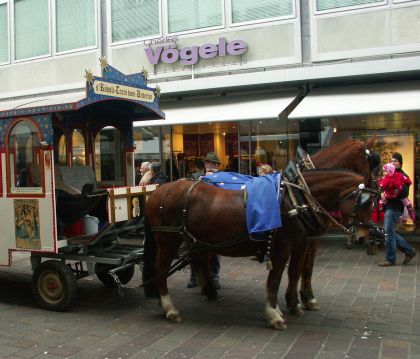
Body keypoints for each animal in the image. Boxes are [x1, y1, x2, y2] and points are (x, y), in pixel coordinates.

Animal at [146, 167, 372, 330]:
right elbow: (275, 279)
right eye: (364, 202)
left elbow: (296, 272)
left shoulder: (300, 243)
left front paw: (295, 304)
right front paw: (274, 314)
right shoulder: (282, 247)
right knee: (161, 270)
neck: (296, 200)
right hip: (169, 240)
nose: (363, 237)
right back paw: (170, 308)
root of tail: (158, 191)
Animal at [288, 137, 378, 316]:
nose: (376, 188)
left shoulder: (312, 238)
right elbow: (301, 267)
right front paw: (304, 298)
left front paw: (308, 298)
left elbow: (307, 267)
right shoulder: (307, 239)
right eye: (372, 165)